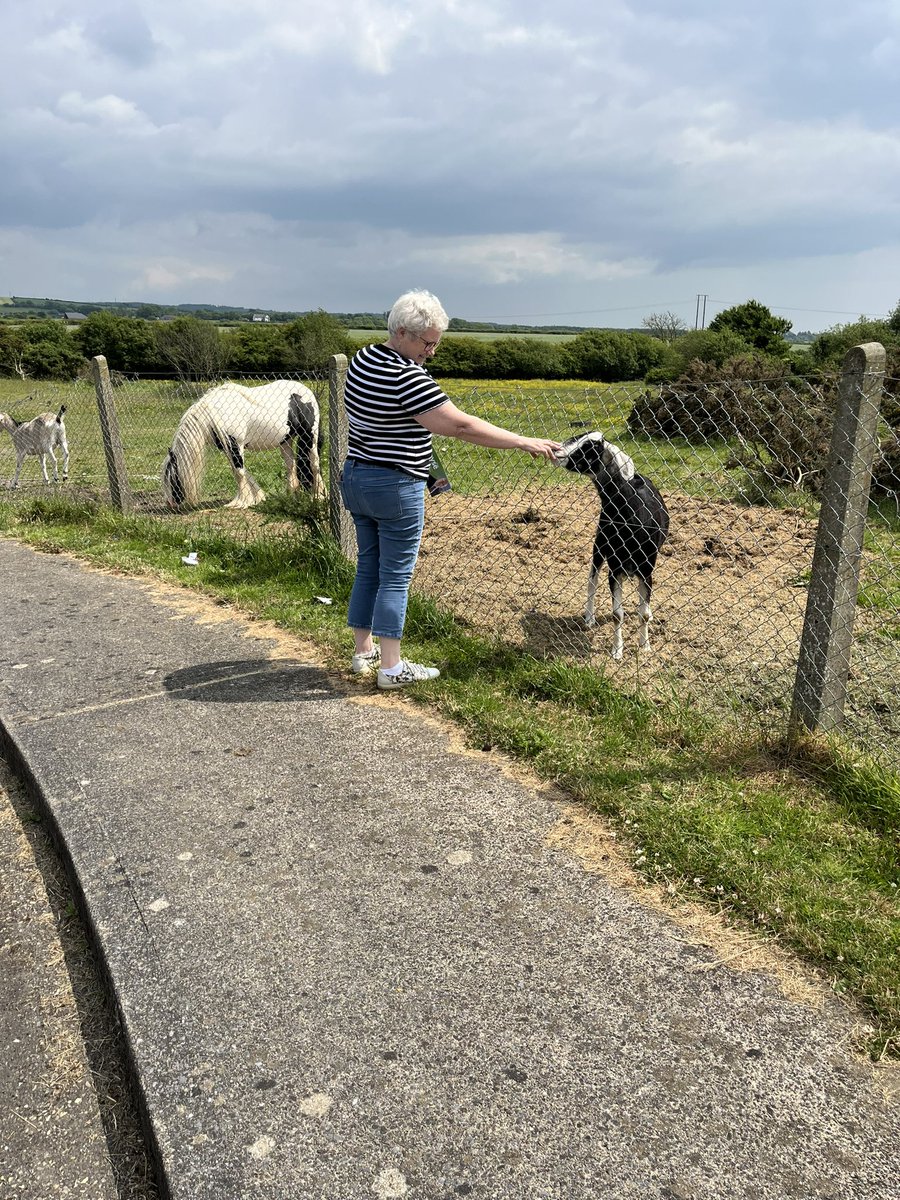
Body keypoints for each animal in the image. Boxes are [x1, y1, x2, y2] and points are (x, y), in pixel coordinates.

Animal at [555, 431, 669, 660]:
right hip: (599, 546)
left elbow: (643, 613)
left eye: (590, 450)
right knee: (592, 581)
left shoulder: (646, 570)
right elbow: (617, 614)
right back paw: (589, 618)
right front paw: (617, 651)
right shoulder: (614, 569)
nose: (556, 451)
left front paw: (644, 645)